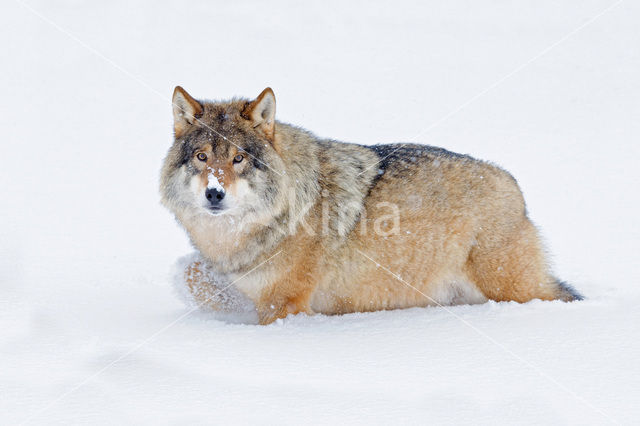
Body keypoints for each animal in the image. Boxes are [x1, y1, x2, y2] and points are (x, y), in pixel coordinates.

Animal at [159, 86, 580, 324]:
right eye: (201, 157)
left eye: (239, 159)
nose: (215, 194)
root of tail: (514, 187)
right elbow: (191, 271)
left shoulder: (284, 304)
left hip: (509, 286)